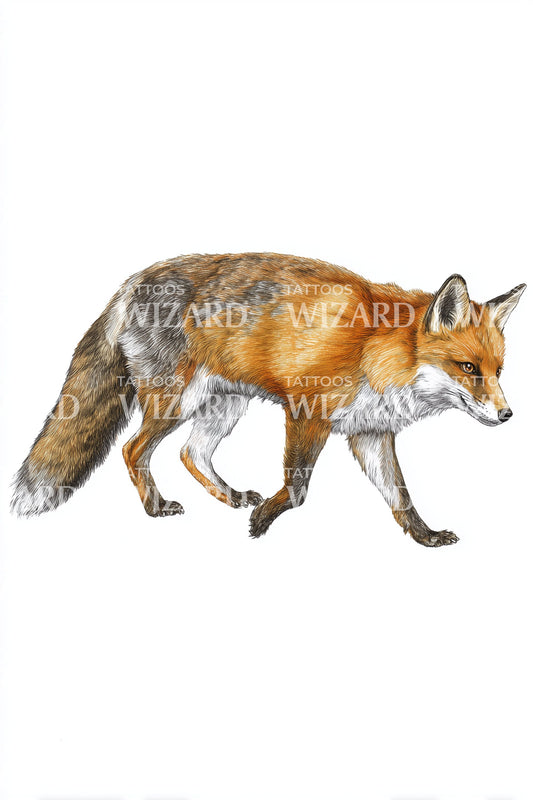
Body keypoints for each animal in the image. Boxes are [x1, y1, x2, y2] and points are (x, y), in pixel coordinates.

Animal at [11, 253, 525, 547]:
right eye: (468, 368)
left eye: (498, 371)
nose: (507, 414)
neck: (375, 348)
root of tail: (134, 281)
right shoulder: (306, 409)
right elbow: (298, 488)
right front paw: (263, 522)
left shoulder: (370, 431)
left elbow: (401, 496)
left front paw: (425, 537)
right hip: (176, 401)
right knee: (133, 450)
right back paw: (157, 508)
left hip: (223, 406)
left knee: (190, 453)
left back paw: (231, 496)